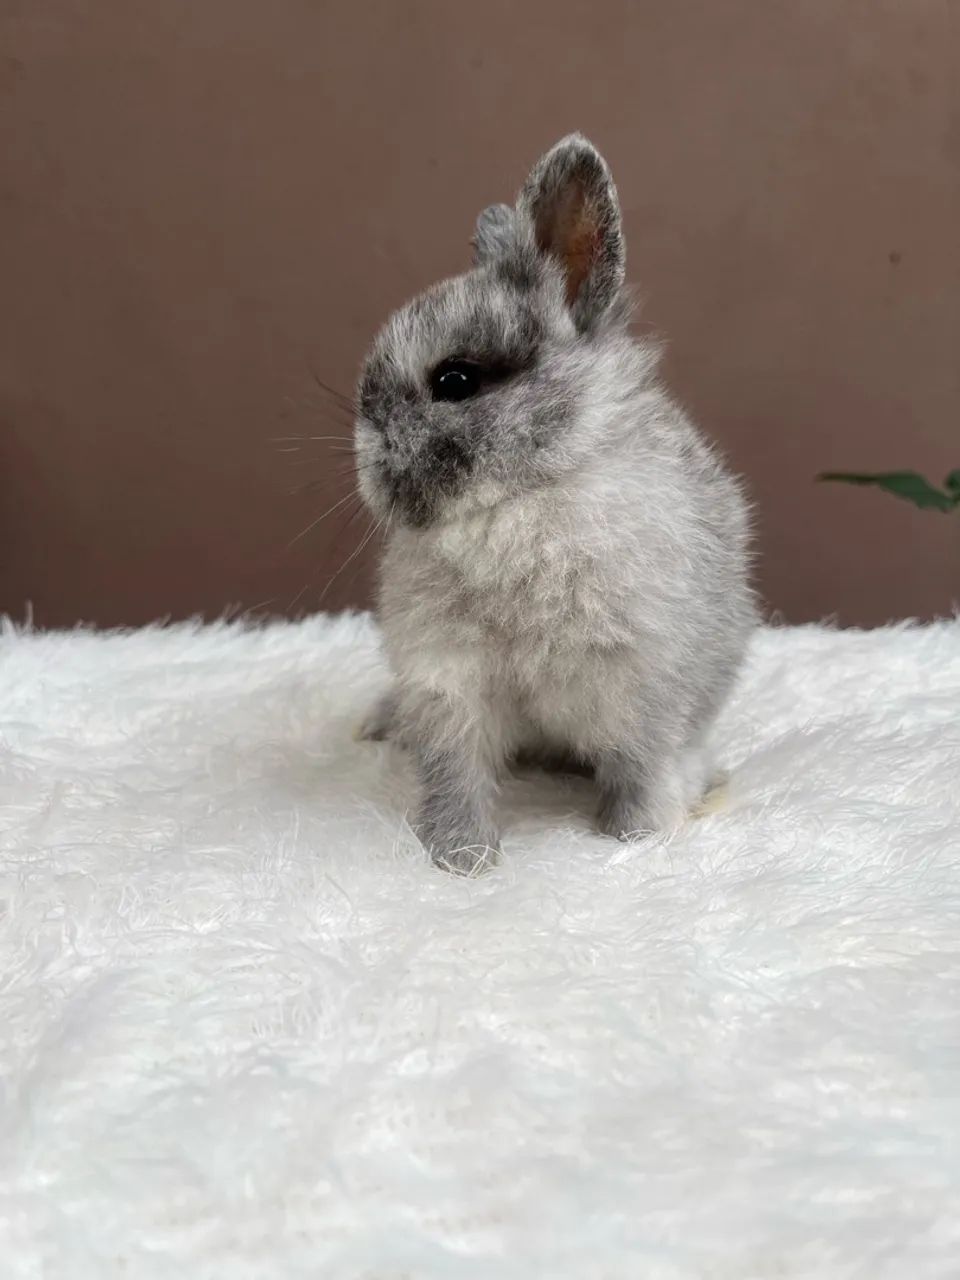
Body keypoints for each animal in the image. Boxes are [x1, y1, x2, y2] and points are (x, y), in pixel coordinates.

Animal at [353, 133, 755, 874]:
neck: (519, 499)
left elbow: (642, 773)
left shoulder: (642, 690)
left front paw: (635, 840)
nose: (374, 471)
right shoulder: (448, 686)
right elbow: (456, 780)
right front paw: (462, 859)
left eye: (455, 380)